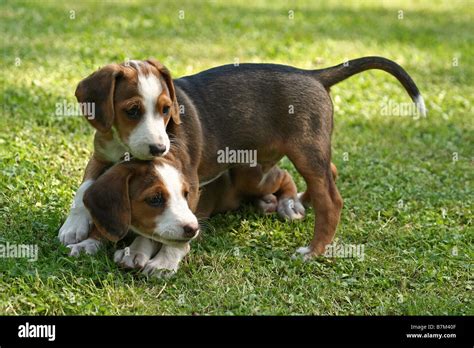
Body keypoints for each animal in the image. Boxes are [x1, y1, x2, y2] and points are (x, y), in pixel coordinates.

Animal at [60, 55, 426, 260]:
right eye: (132, 110)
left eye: (166, 110)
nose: (160, 148)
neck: (123, 143)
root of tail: (311, 74)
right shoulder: (101, 154)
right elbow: (84, 190)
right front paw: (77, 230)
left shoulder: (187, 177)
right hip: (270, 163)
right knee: (324, 172)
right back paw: (289, 203)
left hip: (306, 151)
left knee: (331, 199)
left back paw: (313, 249)